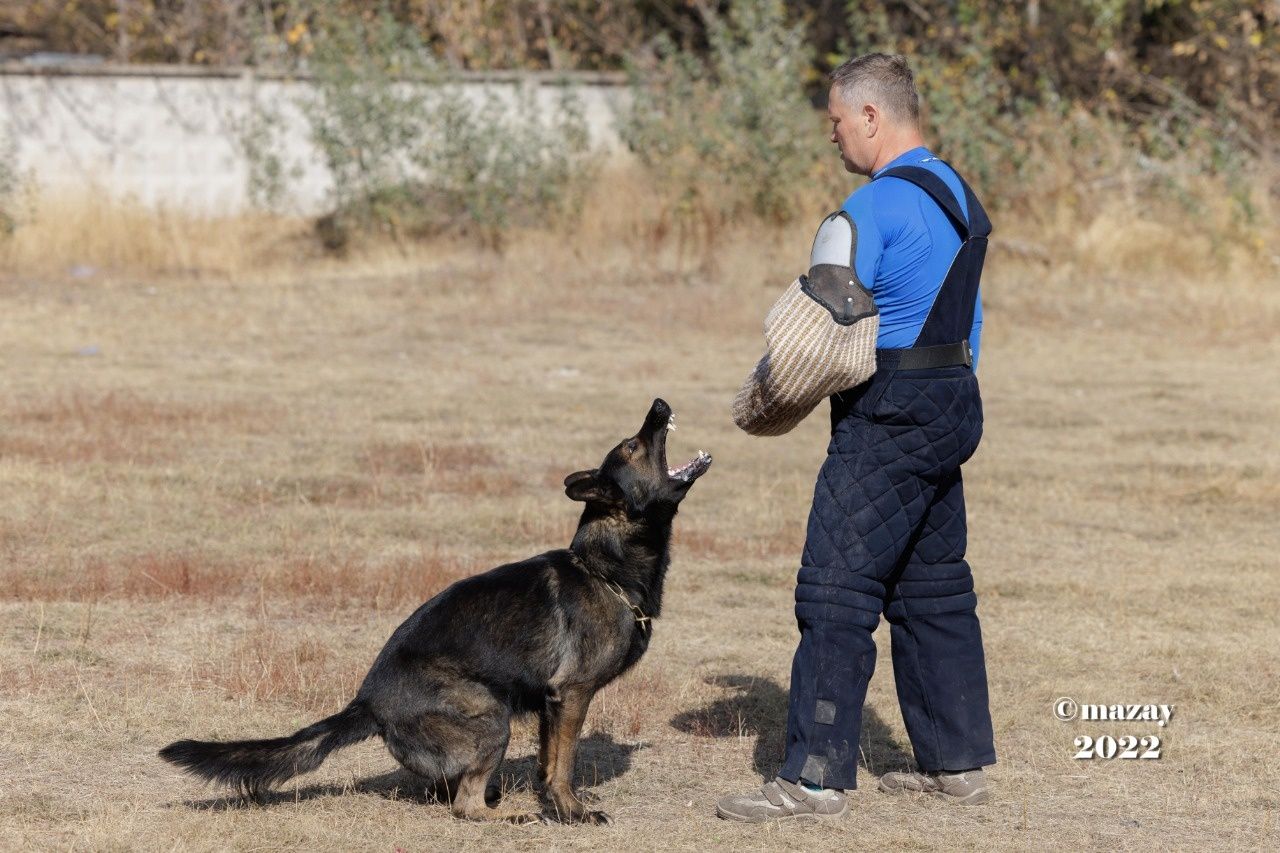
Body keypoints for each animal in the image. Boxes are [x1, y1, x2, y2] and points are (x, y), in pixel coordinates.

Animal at [160, 399, 711, 824]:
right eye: (632, 446)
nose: (659, 404)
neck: (604, 568)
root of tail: (367, 702)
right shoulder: (571, 695)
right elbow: (563, 765)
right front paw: (571, 813)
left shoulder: (551, 705)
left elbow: (547, 762)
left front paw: (557, 806)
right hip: (492, 717)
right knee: (464, 806)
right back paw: (509, 815)